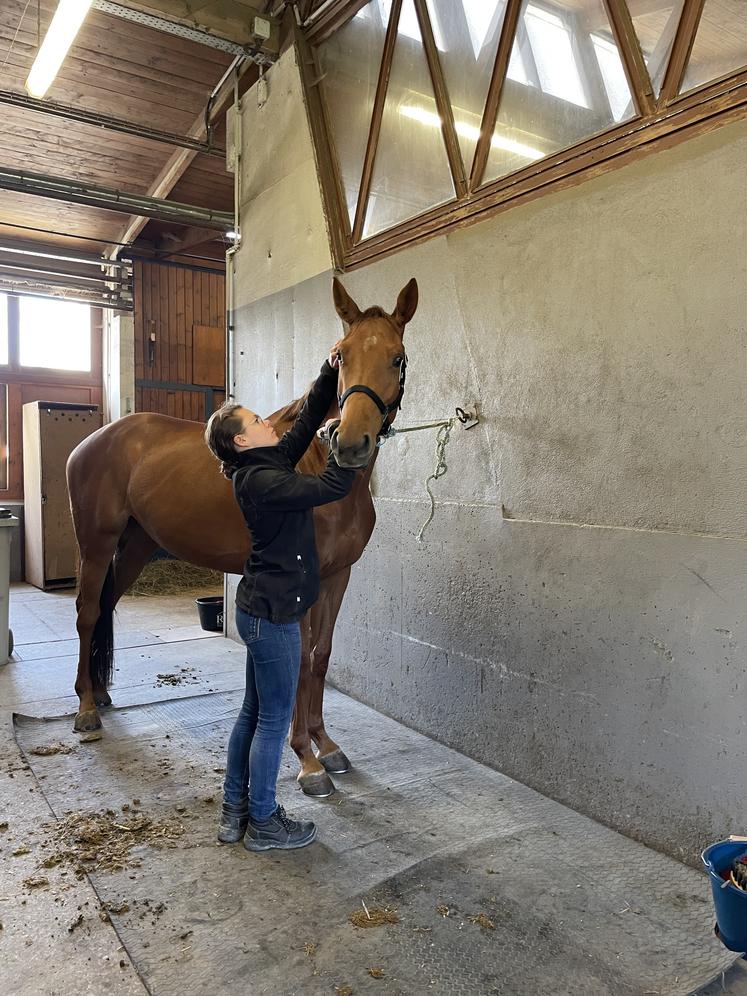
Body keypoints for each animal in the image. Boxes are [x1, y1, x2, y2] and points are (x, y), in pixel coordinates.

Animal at [67, 276, 418, 796]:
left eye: (396, 358)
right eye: (340, 355)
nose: (350, 443)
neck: (315, 469)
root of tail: (97, 439)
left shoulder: (338, 577)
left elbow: (321, 656)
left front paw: (326, 746)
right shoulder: (305, 585)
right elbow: (301, 660)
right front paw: (306, 760)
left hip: (134, 547)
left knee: (105, 607)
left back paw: (101, 692)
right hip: (95, 544)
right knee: (88, 613)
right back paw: (86, 708)